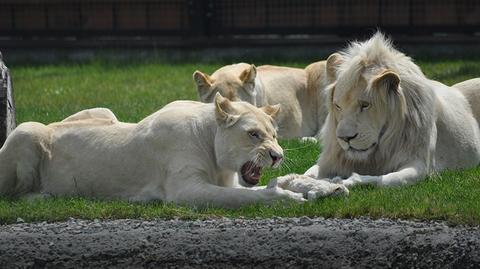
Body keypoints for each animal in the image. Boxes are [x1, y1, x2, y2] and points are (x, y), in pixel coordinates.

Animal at [0, 93, 344, 206]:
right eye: (254, 134)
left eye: (274, 135)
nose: (278, 156)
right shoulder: (185, 190)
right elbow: (245, 197)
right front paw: (287, 198)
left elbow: (261, 187)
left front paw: (326, 188)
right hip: (27, 130)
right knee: (11, 195)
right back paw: (45, 196)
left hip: (105, 111)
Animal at [306, 33, 480, 186]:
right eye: (338, 105)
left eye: (365, 105)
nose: (344, 138)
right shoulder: (331, 160)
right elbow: (309, 172)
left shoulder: (420, 165)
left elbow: (382, 181)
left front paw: (348, 181)